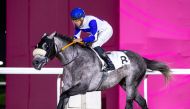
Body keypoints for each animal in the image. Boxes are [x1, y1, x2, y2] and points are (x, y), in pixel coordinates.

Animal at [32, 31, 171, 108]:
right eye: (37, 45)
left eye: (47, 45)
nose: (35, 62)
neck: (75, 61)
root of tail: (140, 57)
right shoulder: (67, 86)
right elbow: (62, 98)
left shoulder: (83, 87)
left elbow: (63, 94)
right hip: (125, 84)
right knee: (142, 102)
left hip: (132, 82)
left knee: (129, 103)